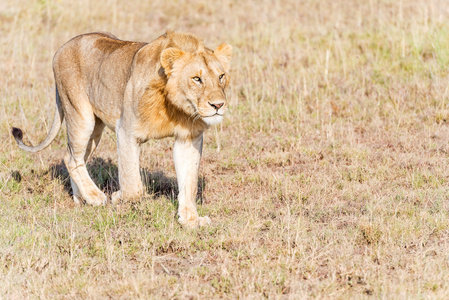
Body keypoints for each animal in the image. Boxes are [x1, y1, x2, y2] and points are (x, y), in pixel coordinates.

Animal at [12, 30, 233, 227]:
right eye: (197, 79)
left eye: (221, 76)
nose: (218, 105)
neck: (175, 106)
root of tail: (63, 47)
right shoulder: (126, 131)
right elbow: (133, 186)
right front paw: (118, 196)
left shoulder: (188, 138)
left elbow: (189, 183)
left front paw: (190, 220)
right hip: (80, 115)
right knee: (70, 159)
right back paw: (95, 197)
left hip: (95, 130)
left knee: (75, 157)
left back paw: (82, 199)